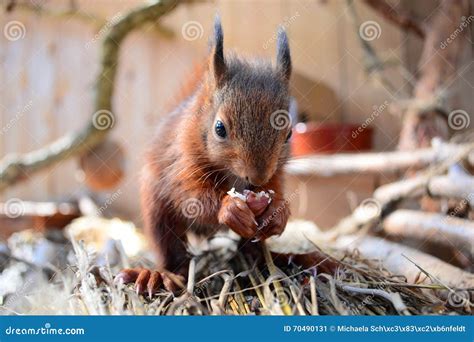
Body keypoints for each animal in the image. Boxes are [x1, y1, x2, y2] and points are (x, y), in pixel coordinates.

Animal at [114, 18, 292, 296]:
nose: (257, 177)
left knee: (249, 245)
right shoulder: (182, 162)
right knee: (169, 249)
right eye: (219, 128)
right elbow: (191, 195)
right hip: (156, 211)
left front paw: (277, 213)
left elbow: (276, 188)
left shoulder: (277, 172)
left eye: (289, 134)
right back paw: (159, 275)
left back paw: (267, 257)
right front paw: (230, 208)